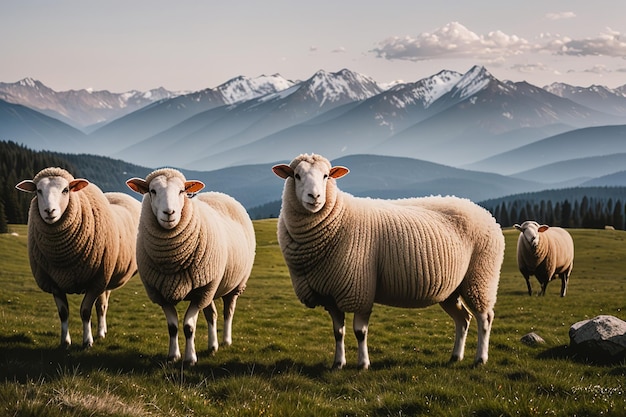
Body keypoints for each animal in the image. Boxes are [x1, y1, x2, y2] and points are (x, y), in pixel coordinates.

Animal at [14, 166, 141, 348]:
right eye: (38, 190)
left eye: (66, 190)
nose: (49, 211)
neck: (63, 257)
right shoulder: (54, 283)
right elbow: (63, 312)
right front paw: (65, 341)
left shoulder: (95, 282)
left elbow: (85, 311)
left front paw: (87, 341)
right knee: (102, 304)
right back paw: (102, 330)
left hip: (104, 275)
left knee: (101, 306)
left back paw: (100, 333)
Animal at [125, 167, 255, 362]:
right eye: (152, 191)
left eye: (181, 191)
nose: (169, 213)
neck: (172, 260)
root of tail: (220, 194)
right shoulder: (161, 293)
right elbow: (172, 327)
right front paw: (173, 355)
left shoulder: (200, 293)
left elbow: (189, 327)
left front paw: (190, 358)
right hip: (211, 285)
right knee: (212, 315)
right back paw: (213, 346)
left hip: (232, 285)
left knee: (228, 312)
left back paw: (226, 341)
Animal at [270, 154, 504, 368]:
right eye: (297, 176)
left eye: (326, 176)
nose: (315, 196)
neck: (338, 218)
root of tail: (486, 214)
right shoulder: (330, 294)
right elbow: (338, 332)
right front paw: (338, 363)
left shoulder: (360, 289)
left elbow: (360, 332)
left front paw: (363, 364)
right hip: (451, 289)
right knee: (463, 319)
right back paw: (455, 356)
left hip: (480, 277)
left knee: (485, 318)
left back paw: (480, 359)